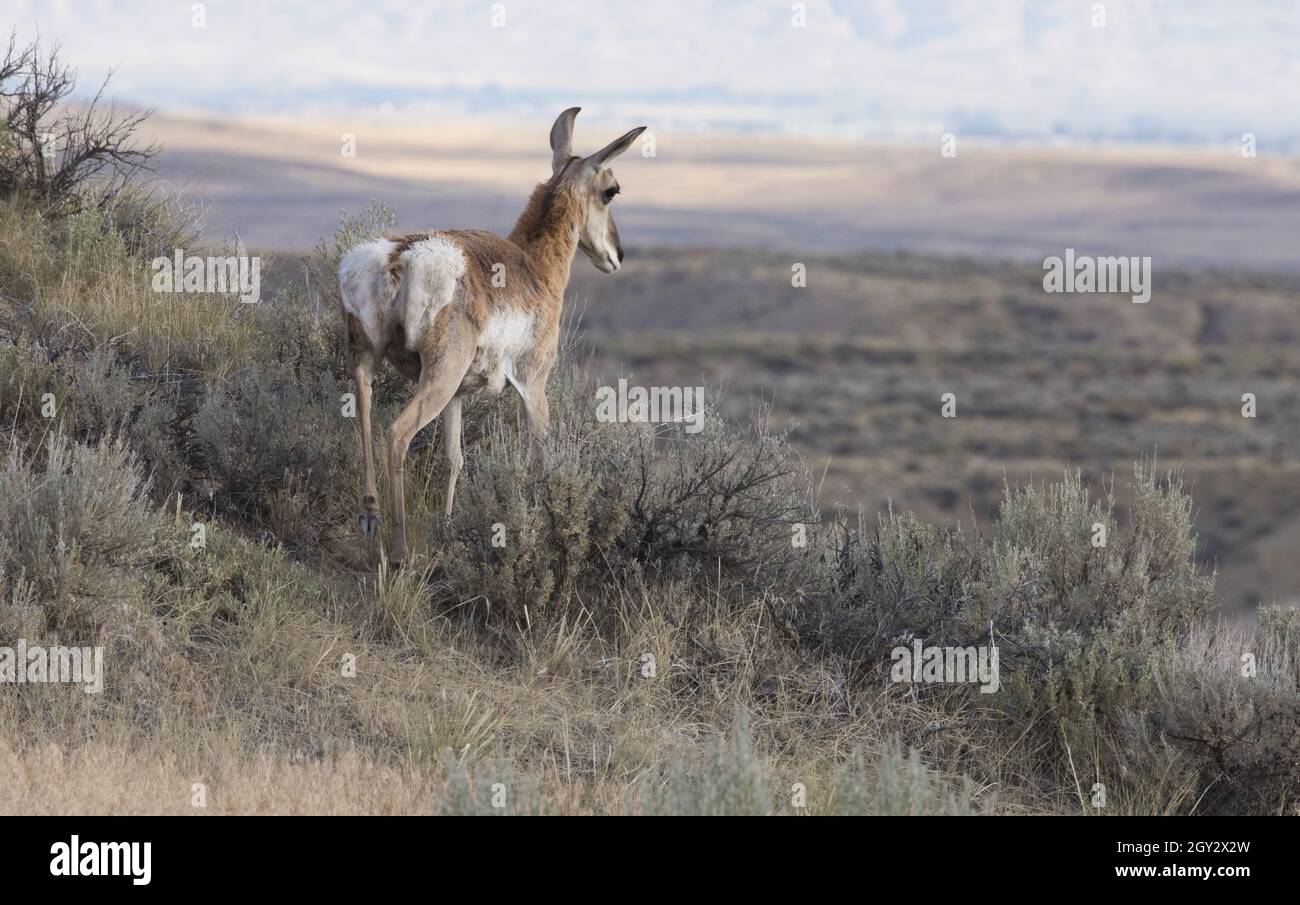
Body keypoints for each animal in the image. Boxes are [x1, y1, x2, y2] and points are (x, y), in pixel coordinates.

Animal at [340, 105, 644, 559]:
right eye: (612, 191)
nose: (618, 255)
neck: (535, 265)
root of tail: (400, 256)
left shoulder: (458, 398)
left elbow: (453, 458)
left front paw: (448, 521)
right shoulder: (534, 385)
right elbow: (539, 453)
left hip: (371, 361)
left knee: (362, 410)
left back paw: (370, 516)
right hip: (438, 377)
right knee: (396, 433)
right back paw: (400, 549)